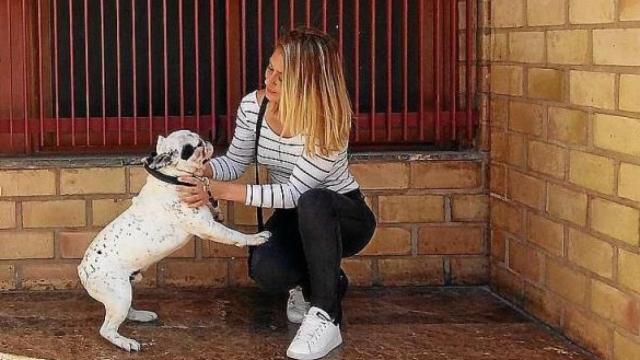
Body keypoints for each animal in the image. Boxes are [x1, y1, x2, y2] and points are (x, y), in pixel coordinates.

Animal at [77, 129, 270, 352]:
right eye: (195, 146)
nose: (207, 140)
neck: (172, 177)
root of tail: (82, 269)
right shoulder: (207, 227)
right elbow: (233, 235)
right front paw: (255, 238)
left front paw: (216, 207)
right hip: (119, 293)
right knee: (107, 329)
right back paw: (125, 342)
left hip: (126, 290)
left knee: (125, 312)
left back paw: (141, 315)